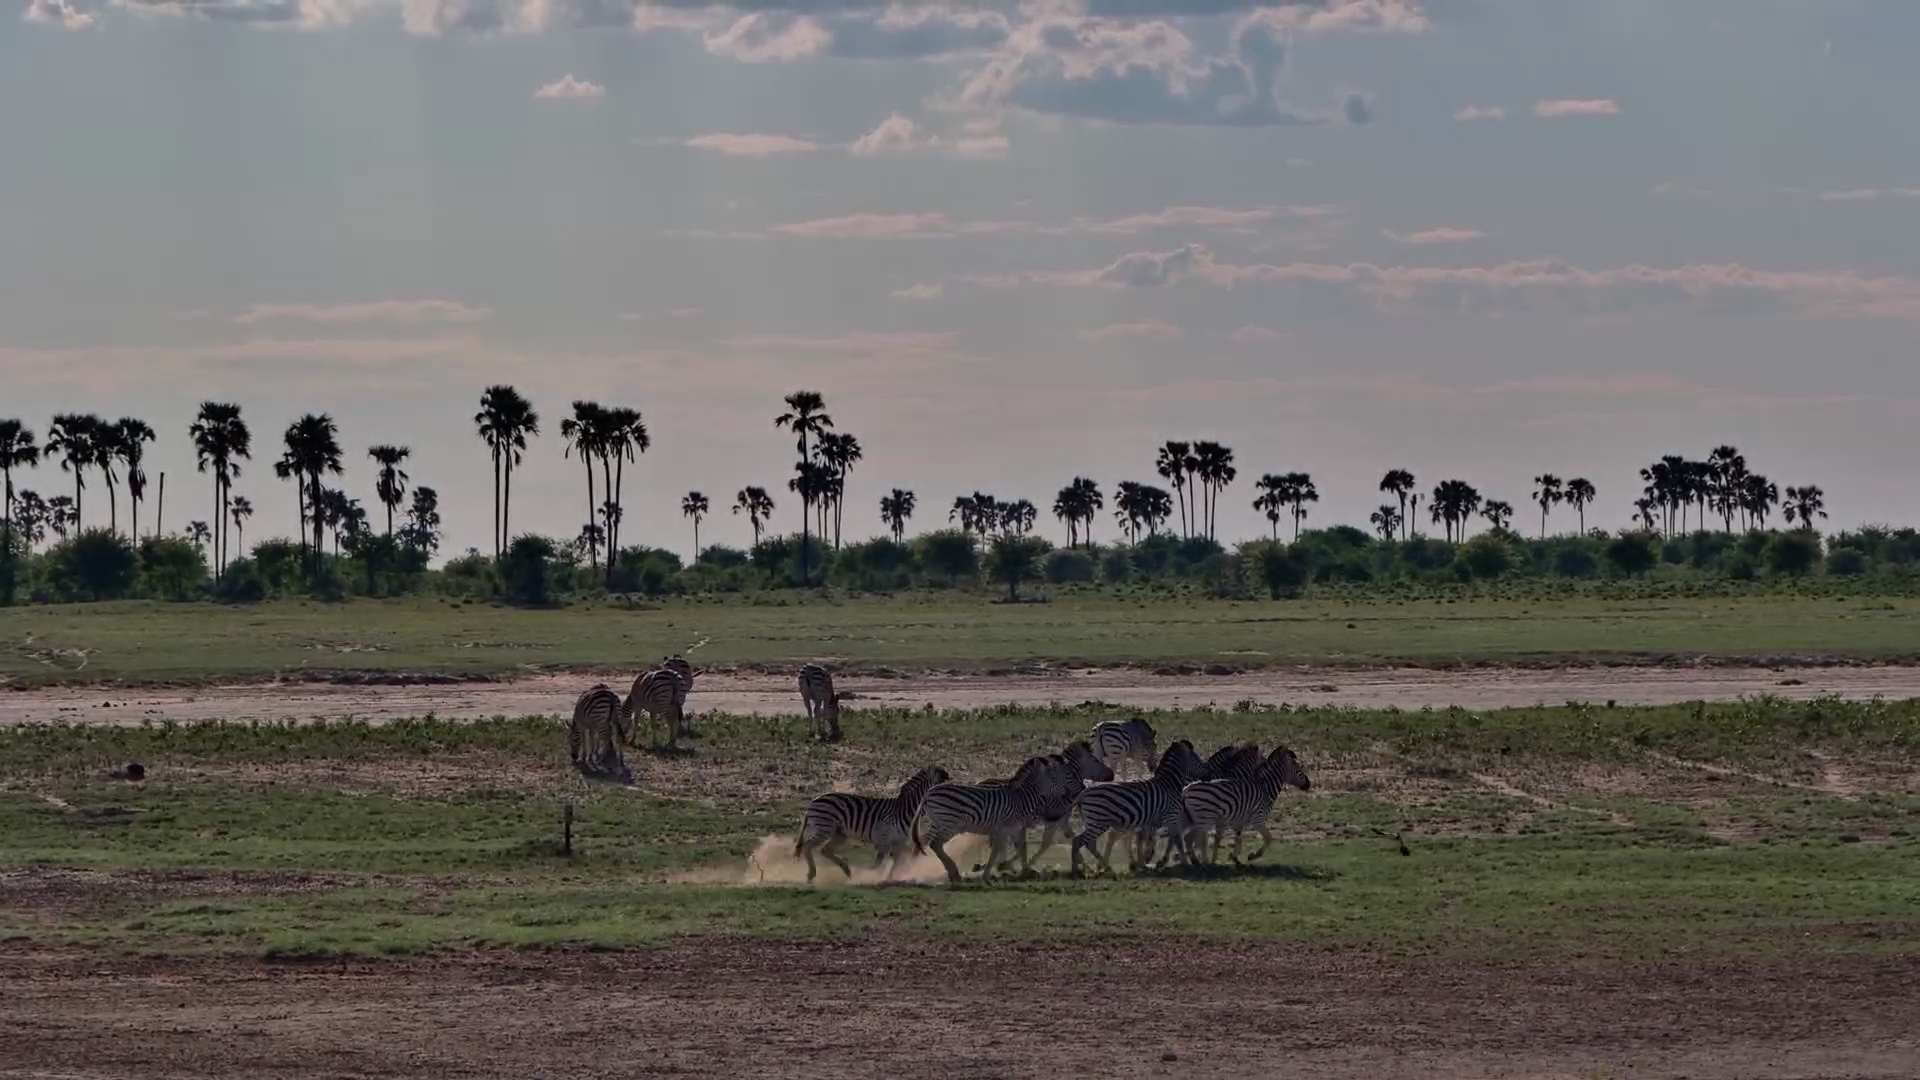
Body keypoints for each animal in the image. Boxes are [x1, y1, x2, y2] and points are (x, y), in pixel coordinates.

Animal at [795, 765, 951, 883]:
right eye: (942, 779)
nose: (949, 787)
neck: (905, 809)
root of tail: (814, 800)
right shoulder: (883, 837)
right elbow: (878, 863)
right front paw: (865, 875)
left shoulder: (898, 841)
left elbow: (896, 862)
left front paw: (890, 878)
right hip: (824, 828)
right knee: (808, 846)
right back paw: (812, 874)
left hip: (839, 833)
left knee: (824, 850)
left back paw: (847, 870)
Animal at [913, 755, 1062, 885]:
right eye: (1055, 777)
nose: (1065, 793)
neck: (1021, 798)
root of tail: (928, 793)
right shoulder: (1004, 828)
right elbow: (996, 851)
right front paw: (987, 875)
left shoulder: (1014, 828)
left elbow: (1021, 848)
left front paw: (1026, 871)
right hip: (950, 823)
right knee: (935, 844)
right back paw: (953, 873)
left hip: (938, 823)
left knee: (927, 842)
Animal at [1069, 740, 1206, 877]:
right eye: (1196, 758)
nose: (1206, 773)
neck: (1169, 784)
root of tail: (1084, 793)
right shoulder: (1171, 816)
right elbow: (1177, 840)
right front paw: (1185, 864)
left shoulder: (1154, 821)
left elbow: (1149, 840)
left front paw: (1146, 862)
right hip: (1098, 822)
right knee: (1080, 841)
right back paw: (1077, 872)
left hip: (1092, 822)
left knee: (1085, 842)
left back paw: (1102, 868)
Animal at [1169, 746, 1312, 867]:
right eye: (1297, 767)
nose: (1309, 784)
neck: (1265, 788)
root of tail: (1186, 789)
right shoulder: (1257, 819)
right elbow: (1268, 838)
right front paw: (1253, 855)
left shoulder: (1239, 821)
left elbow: (1238, 839)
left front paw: (1234, 858)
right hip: (1203, 819)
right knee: (1195, 840)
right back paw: (1202, 863)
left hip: (1193, 819)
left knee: (1186, 838)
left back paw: (1195, 861)